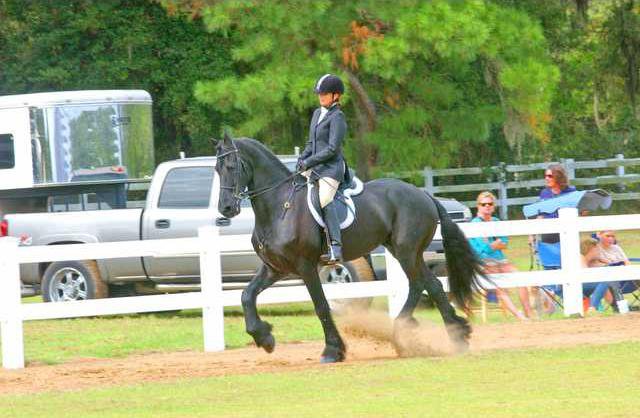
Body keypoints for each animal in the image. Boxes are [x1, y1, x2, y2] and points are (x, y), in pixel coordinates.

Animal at [212, 134, 482, 362]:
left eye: (232, 167)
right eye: (217, 169)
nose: (226, 209)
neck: (280, 206)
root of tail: (424, 194)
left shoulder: (305, 267)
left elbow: (321, 306)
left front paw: (333, 350)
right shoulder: (275, 268)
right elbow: (247, 295)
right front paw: (264, 337)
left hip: (407, 252)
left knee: (419, 284)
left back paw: (406, 332)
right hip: (406, 252)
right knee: (431, 284)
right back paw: (456, 335)